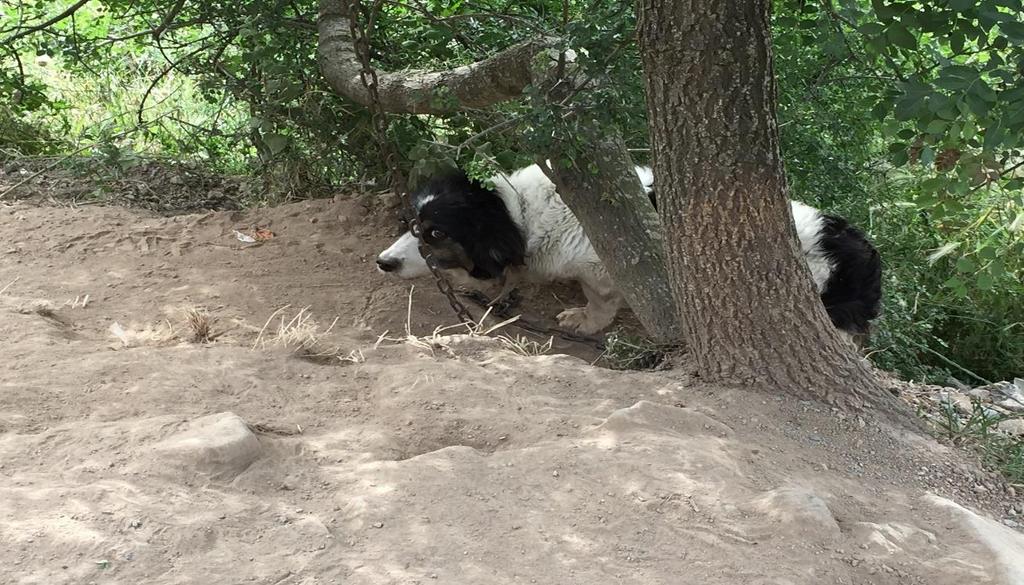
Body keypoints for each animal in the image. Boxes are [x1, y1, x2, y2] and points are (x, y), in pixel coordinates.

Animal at [376, 163, 880, 338]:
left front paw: (584, 322)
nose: (383, 262)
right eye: (411, 224)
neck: (522, 215)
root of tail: (858, 246)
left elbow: (599, 304)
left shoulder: (599, 271)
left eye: (435, 233)